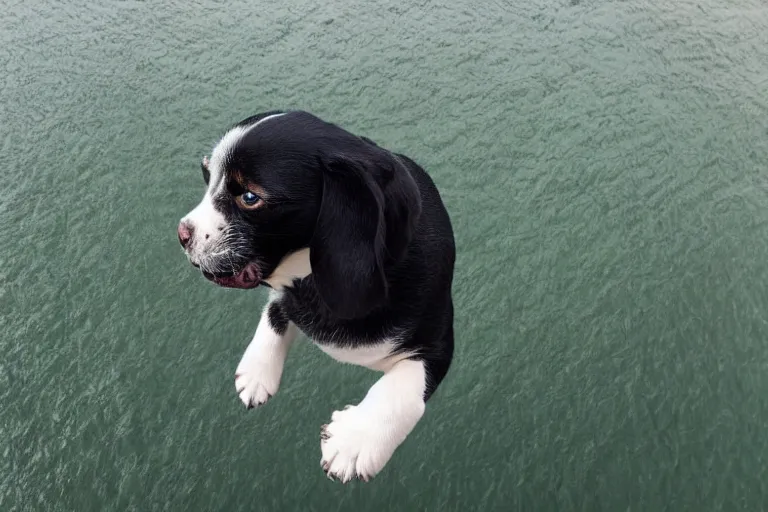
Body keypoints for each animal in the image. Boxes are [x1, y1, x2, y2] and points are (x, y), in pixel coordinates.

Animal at [178, 110, 456, 482]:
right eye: (206, 174)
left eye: (249, 198)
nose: (182, 234)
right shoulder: (287, 294)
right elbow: (275, 312)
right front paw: (257, 371)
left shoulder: (438, 340)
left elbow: (402, 389)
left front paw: (356, 440)